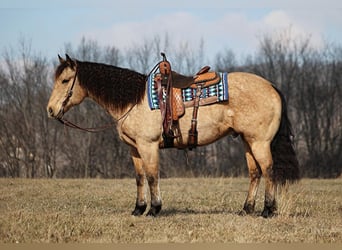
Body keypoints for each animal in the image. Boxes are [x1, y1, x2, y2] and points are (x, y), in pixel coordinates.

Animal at [47, 54, 300, 217]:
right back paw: (246, 209)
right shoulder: (134, 148)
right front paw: (138, 209)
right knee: (255, 173)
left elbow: (152, 176)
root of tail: (272, 86)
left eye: (65, 80)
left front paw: (154, 209)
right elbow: (139, 178)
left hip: (260, 142)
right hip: (248, 141)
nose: (50, 110)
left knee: (268, 170)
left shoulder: (147, 145)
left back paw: (268, 210)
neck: (134, 99)